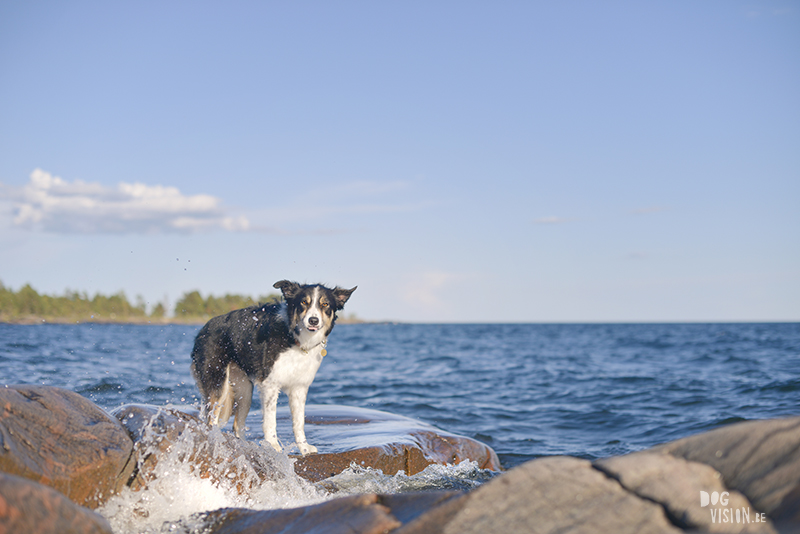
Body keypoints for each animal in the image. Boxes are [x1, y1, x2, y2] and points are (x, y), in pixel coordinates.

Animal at [189, 280, 354, 456]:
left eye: (325, 304)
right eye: (304, 302)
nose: (313, 320)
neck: (294, 337)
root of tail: (203, 329)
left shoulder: (299, 388)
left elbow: (299, 422)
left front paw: (304, 448)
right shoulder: (270, 385)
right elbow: (270, 420)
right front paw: (273, 447)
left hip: (244, 390)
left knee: (237, 425)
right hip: (218, 383)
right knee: (211, 420)